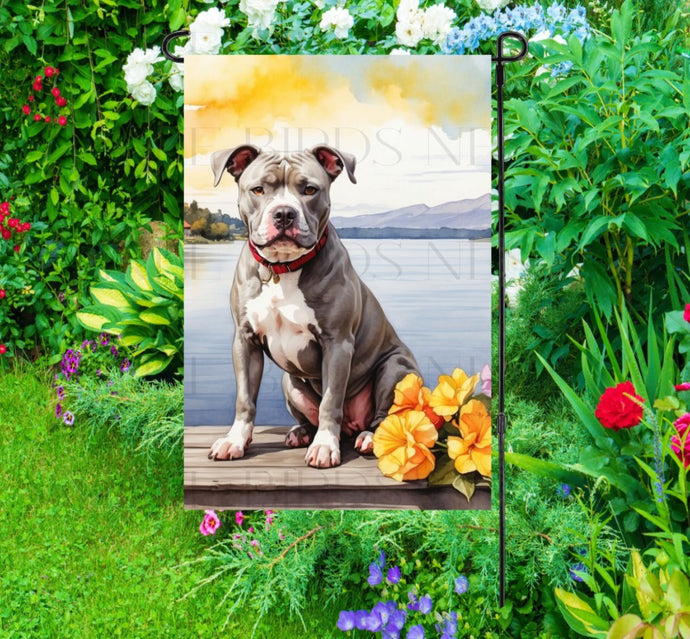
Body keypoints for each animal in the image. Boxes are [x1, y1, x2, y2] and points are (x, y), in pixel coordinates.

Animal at [207, 148, 416, 472]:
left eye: (309, 189)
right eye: (258, 189)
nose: (284, 213)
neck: (282, 268)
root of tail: (353, 426)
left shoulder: (337, 343)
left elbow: (331, 400)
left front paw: (325, 447)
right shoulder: (244, 340)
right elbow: (245, 398)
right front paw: (235, 440)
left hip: (396, 368)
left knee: (383, 417)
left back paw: (368, 437)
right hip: (289, 382)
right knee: (310, 416)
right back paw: (301, 432)